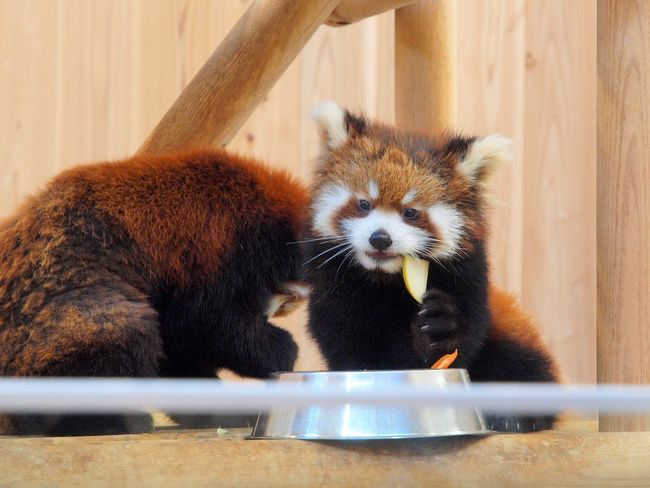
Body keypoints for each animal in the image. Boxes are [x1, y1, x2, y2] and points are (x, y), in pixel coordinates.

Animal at [0, 149, 308, 434]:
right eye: (286, 298)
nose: (269, 314)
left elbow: (179, 353)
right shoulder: (218, 254)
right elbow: (210, 329)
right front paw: (281, 350)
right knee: (129, 330)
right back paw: (107, 421)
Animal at [306, 102, 560, 430]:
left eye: (411, 212)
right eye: (364, 204)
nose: (380, 238)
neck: (384, 282)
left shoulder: (470, 282)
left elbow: (462, 341)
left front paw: (437, 329)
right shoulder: (333, 291)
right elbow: (346, 344)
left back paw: (513, 414)